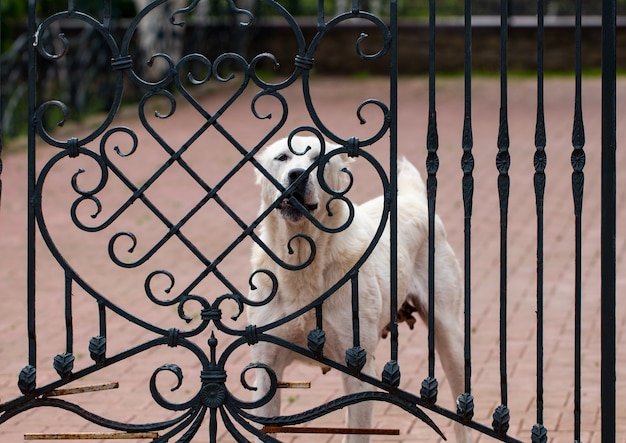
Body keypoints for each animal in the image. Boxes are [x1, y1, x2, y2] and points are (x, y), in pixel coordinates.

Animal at [246, 136, 470, 443]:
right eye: (282, 158)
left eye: (319, 159)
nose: (297, 176)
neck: (304, 259)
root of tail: (412, 196)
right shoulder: (267, 371)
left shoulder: (360, 372)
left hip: (449, 336)